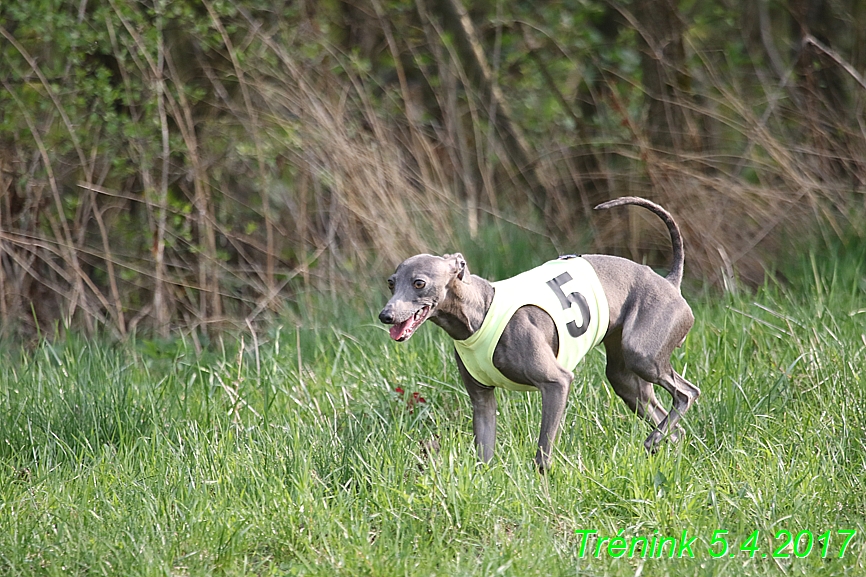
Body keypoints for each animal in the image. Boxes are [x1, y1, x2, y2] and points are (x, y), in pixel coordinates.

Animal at [376, 197, 696, 468]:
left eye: (419, 283)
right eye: (391, 283)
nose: (385, 315)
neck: (480, 311)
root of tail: (669, 281)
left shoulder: (557, 383)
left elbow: (543, 453)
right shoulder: (482, 401)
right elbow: (484, 456)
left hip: (642, 354)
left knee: (688, 393)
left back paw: (656, 438)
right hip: (625, 379)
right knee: (669, 423)